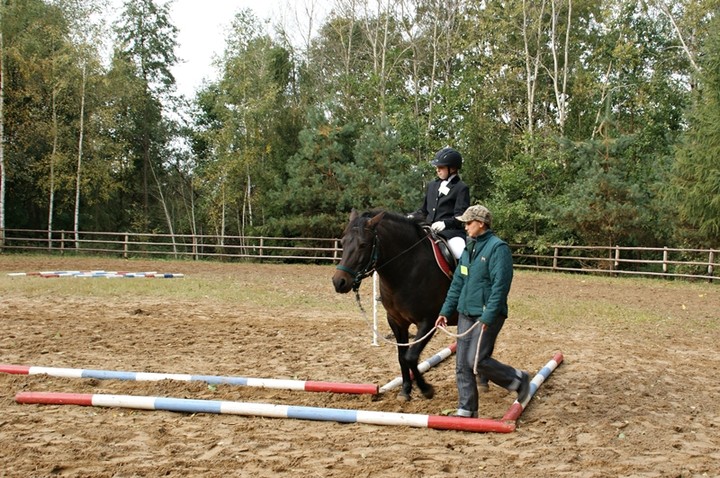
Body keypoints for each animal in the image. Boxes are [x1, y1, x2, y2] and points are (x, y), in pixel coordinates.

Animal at [330, 211, 456, 402]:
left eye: (363, 244)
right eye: (343, 242)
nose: (339, 282)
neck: (409, 269)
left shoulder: (429, 321)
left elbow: (411, 357)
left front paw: (426, 389)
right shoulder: (396, 321)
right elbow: (402, 357)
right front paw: (405, 390)